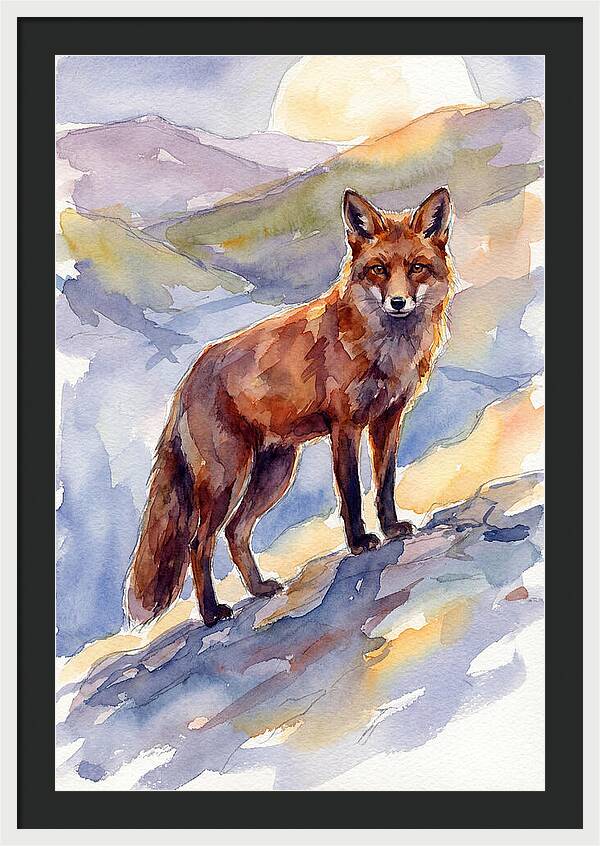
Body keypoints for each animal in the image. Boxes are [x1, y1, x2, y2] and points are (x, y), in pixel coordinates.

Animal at [125, 187, 456, 627]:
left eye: (417, 267)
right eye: (378, 270)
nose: (398, 302)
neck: (385, 349)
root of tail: (188, 379)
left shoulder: (388, 419)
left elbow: (384, 483)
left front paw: (391, 528)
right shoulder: (344, 426)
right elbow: (351, 491)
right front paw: (359, 542)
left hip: (275, 472)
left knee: (236, 532)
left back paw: (259, 588)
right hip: (226, 478)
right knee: (199, 541)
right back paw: (212, 613)